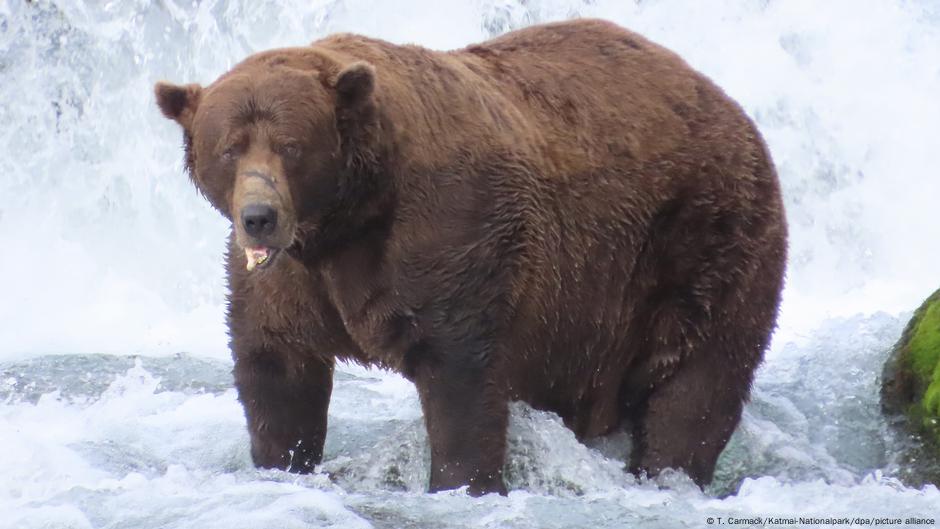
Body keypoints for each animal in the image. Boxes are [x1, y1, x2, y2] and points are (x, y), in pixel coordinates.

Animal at [154, 18, 787, 496]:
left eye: (291, 146)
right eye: (229, 148)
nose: (259, 215)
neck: (347, 220)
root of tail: (728, 104)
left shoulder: (452, 234)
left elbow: (461, 375)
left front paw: (463, 482)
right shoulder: (288, 280)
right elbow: (276, 367)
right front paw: (283, 461)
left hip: (702, 241)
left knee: (697, 384)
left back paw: (667, 471)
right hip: (590, 315)